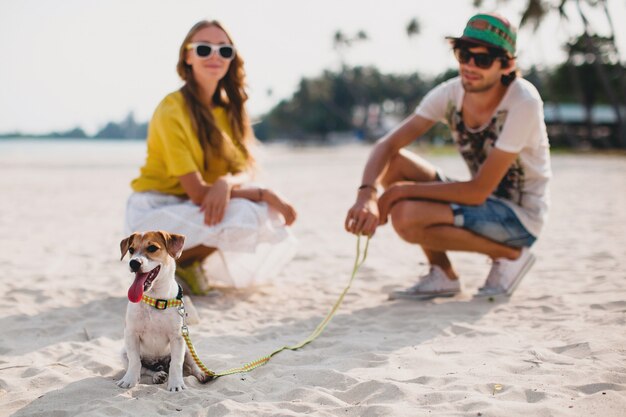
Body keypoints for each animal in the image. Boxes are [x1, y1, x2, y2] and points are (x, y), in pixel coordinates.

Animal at [116, 231, 212, 390]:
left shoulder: (177, 337)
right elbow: (135, 361)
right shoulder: (131, 334)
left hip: (188, 345)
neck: (155, 300)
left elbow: (176, 363)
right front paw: (129, 380)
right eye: (131, 249)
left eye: (152, 248)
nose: (133, 263)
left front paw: (176, 384)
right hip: (123, 354)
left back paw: (201, 374)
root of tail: (159, 362)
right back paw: (157, 375)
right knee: (144, 369)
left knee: (191, 363)